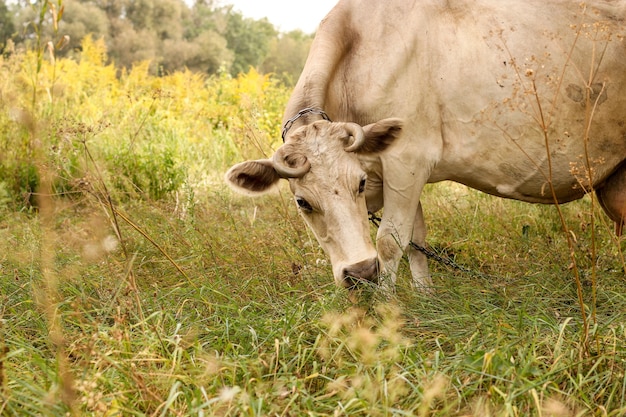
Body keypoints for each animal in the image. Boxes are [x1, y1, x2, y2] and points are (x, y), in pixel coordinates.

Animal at [224, 0, 624, 290]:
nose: (360, 272)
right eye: (302, 202)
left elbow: (390, 241)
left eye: (360, 184)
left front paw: (387, 308)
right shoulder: (401, 173)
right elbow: (416, 242)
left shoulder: (406, 159)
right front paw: (425, 297)